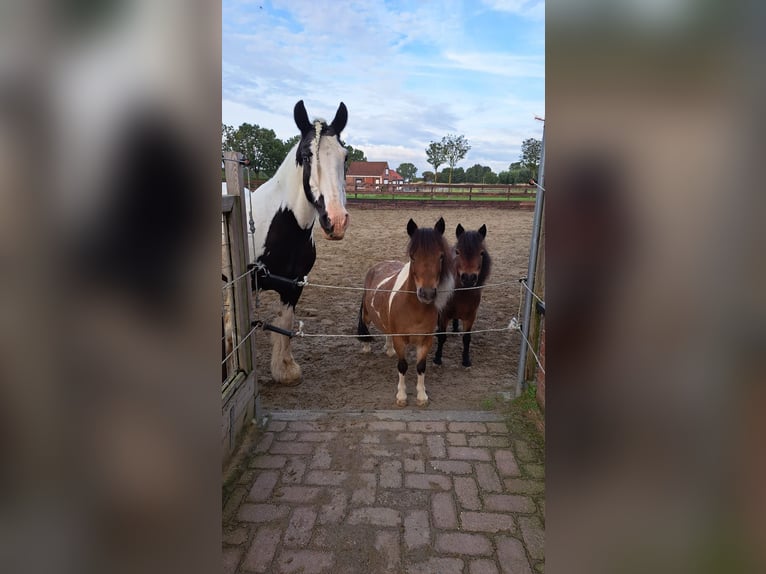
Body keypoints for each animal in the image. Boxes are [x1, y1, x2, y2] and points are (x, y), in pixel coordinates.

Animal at [238, 100, 350, 384]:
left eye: (345, 157)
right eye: (307, 155)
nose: (336, 221)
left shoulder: (293, 286)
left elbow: (285, 324)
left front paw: (284, 370)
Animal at [360, 218, 456, 408]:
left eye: (441, 256)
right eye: (413, 256)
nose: (427, 293)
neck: (414, 310)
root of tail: (377, 266)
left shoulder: (426, 341)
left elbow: (421, 367)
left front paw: (422, 396)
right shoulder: (400, 340)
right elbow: (403, 366)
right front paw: (402, 396)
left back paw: (389, 350)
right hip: (367, 315)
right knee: (366, 326)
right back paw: (367, 347)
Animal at [432, 225, 492, 368]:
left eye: (481, 253)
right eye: (458, 252)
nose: (469, 278)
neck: (462, 294)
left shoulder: (470, 317)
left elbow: (467, 338)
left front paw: (466, 360)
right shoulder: (444, 314)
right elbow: (442, 337)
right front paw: (437, 358)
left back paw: (455, 328)